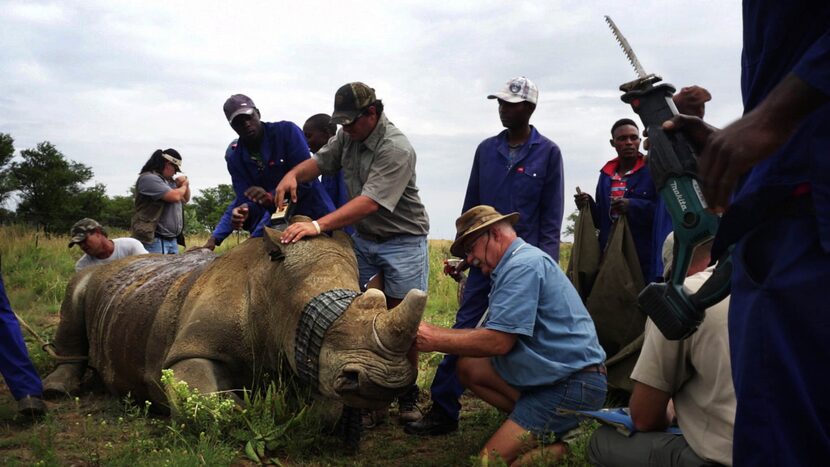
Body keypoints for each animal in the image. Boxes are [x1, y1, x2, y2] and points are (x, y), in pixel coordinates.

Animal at [41, 225, 426, 414]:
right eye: (328, 328)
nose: (385, 382)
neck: (274, 288)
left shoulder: (312, 362)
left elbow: (329, 408)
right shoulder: (190, 349)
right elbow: (208, 405)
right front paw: (243, 407)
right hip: (92, 277)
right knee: (75, 293)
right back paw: (55, 390)